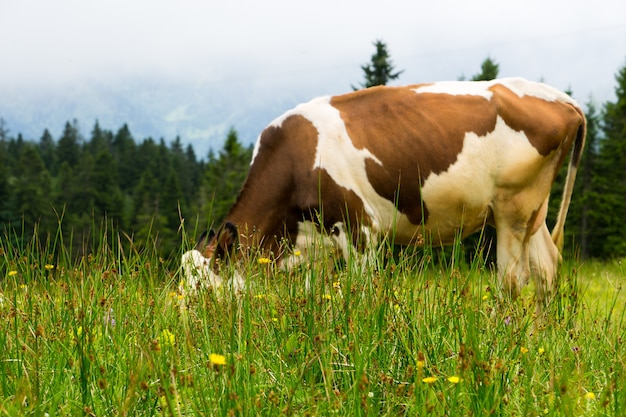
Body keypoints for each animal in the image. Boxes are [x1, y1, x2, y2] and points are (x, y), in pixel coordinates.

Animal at [182, 76, 584, 304]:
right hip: (534, 211)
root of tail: (564, 99)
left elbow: (360, 293)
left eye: (204, 294)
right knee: (547, 270)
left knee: (513, 280)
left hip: (513, 206)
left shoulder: (359, 227)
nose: (189, 338)